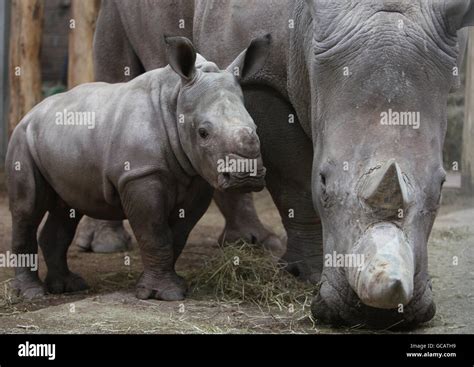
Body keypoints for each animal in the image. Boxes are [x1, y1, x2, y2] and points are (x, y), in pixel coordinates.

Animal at [5, 36, 270, 302]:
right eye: (203, 133)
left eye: (257, 128)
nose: (245, 177)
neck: (175, 98)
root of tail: (31, 111)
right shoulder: (140, 174)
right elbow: (154, 233)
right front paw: (167, 294)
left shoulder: (198, 176)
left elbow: (177, 236)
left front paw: (169, 287)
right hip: (22, 139)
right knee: (27, 209)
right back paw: (32, 293)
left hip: (58, 140)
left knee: (67, 208)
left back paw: (68, 286)